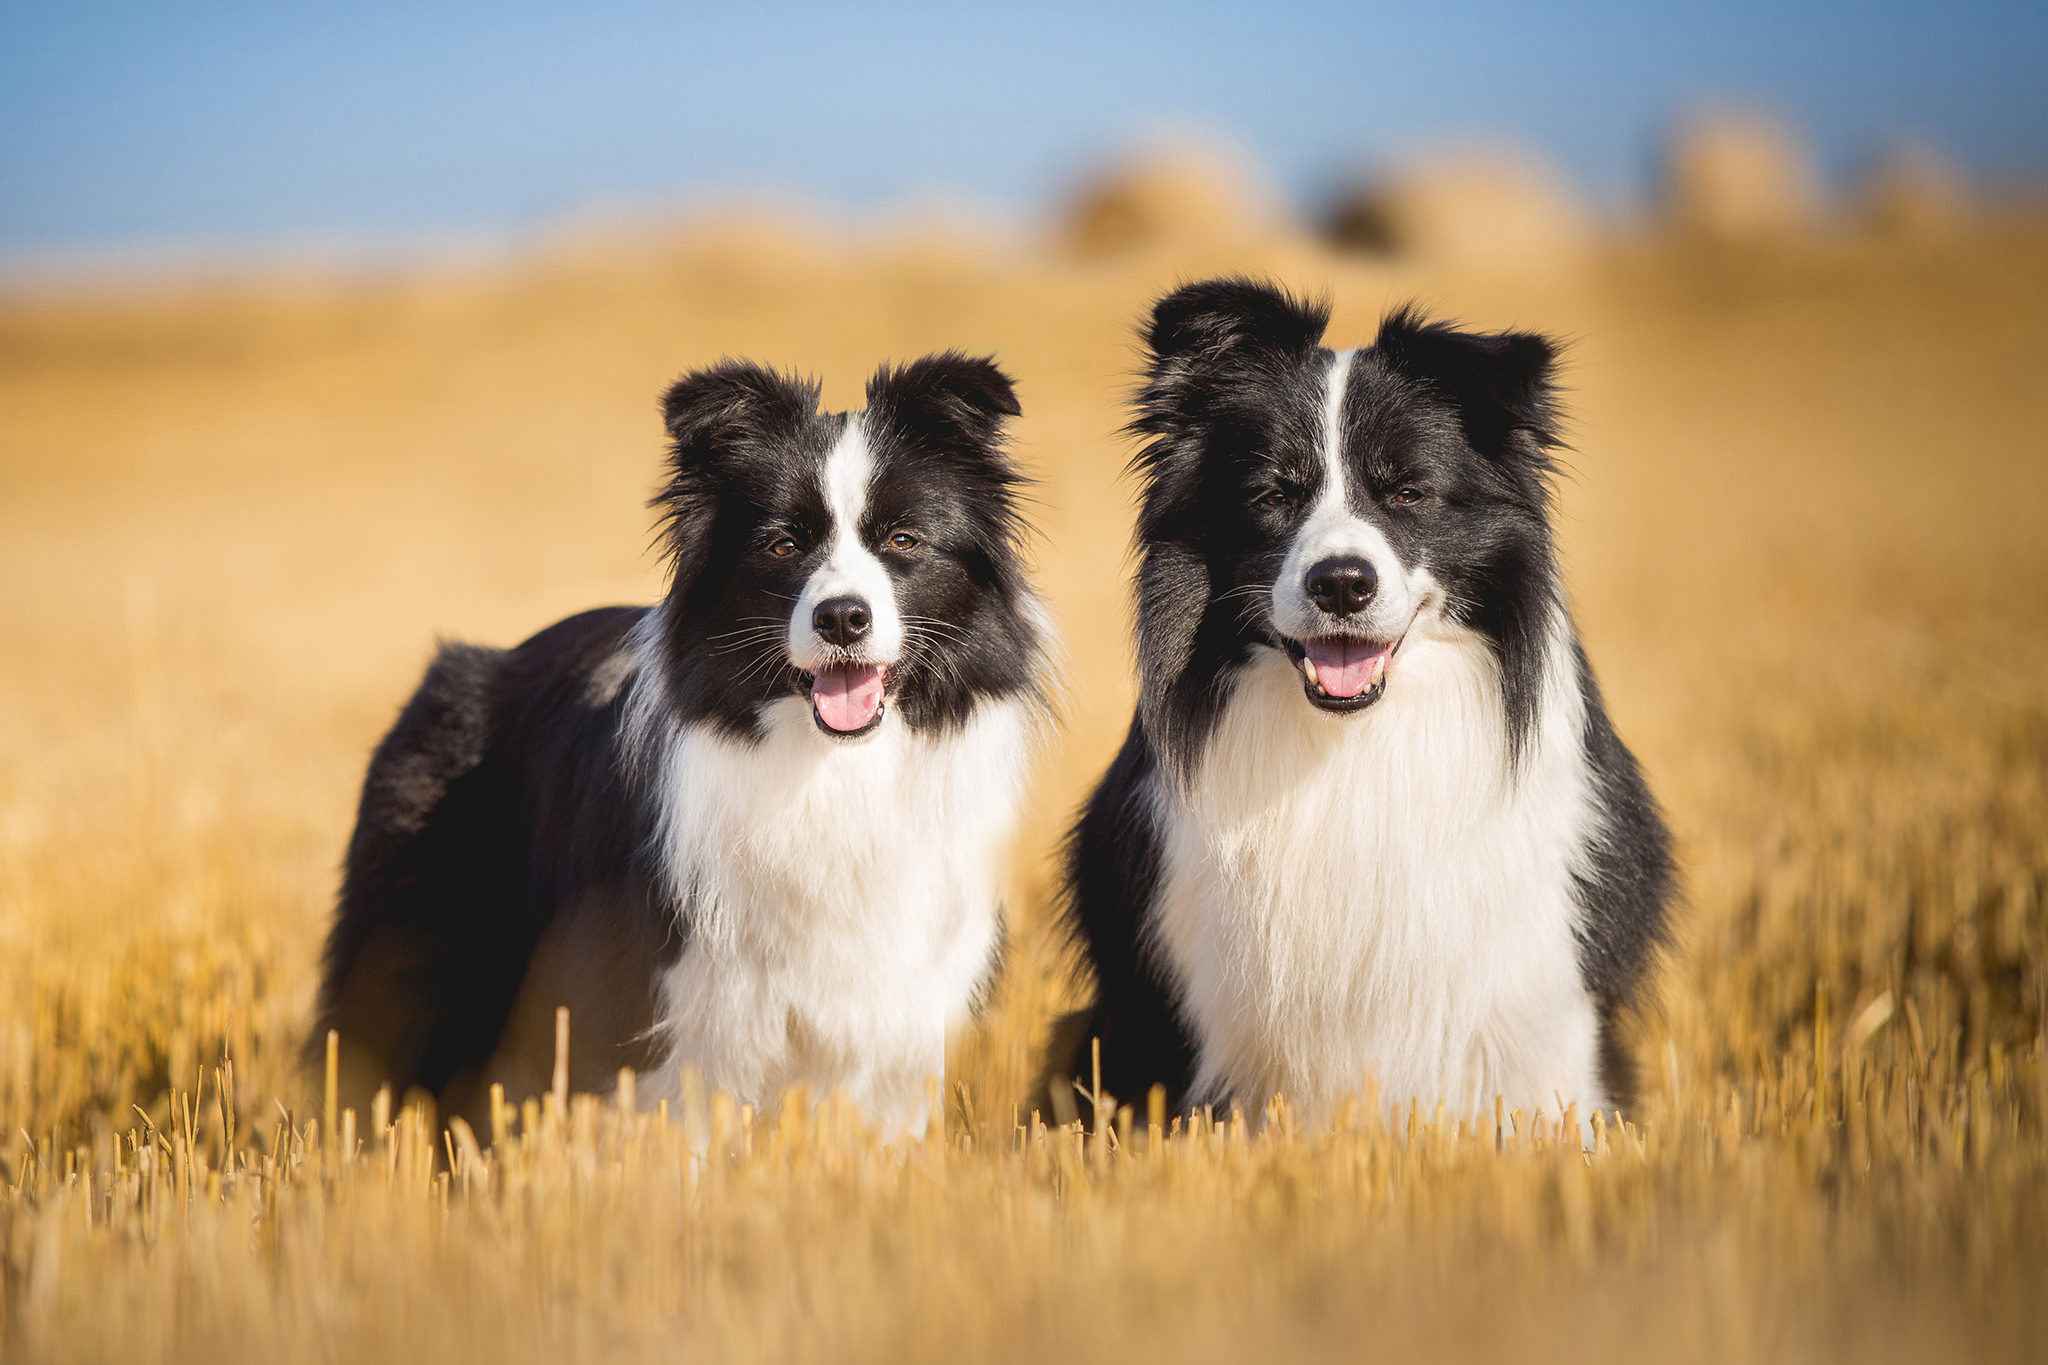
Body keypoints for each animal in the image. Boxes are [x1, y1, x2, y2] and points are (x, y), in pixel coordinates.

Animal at [319, 347, 1056, 1137]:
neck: (832, 766)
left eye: (903, 540)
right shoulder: (678, 1016)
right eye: (782, 544)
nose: (842, 617)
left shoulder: (900, 1017)